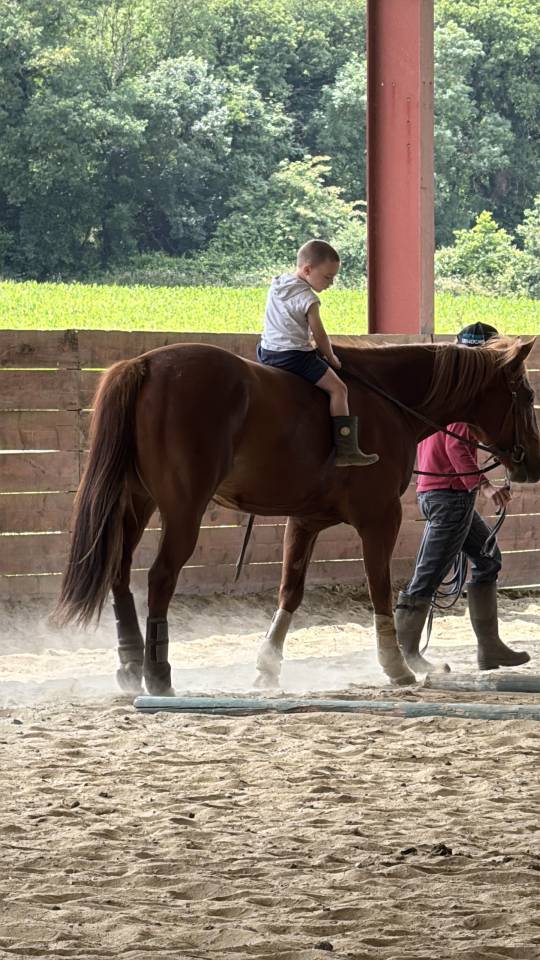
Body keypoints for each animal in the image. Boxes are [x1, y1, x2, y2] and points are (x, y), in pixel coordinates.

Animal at [54, 337, 540, 694]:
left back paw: (130, 664)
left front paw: (268, 666)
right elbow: (380, 590)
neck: (387, 401)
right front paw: (395, 666)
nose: (531, 462)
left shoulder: (304, 521)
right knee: (159, 578)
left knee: (119, 574)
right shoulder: (379, 519)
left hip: (136, 502)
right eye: (526, 393)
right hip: (182, 510)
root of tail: (145, 365)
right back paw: (157, 673)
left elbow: (290, 591)